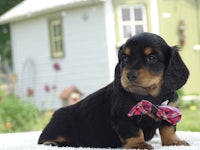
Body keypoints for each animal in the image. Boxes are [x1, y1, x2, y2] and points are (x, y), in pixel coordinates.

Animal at [38, 32, 190, 148]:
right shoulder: (123, 117)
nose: (130, 75)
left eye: (151, 58)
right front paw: (139, 145)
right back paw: (53, 143)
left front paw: (174, 141)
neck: (149, 97)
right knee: (43, 140)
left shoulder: (169, 110)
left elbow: (168, 128)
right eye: (125, 58)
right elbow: (134, 132)